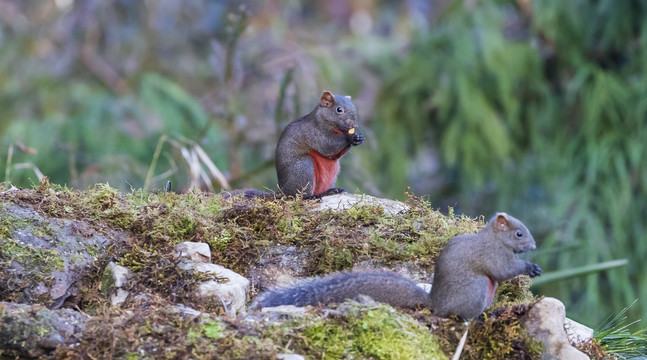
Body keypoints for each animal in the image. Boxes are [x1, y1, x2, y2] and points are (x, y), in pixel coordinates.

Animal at [253, 212, 540, 320]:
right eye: (519, 234)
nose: (535, 245)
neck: (493, 238)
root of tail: (434, 304)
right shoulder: (493, 255)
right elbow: (503, 270)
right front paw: (530, 267)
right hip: (476, 290)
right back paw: (480, 317)